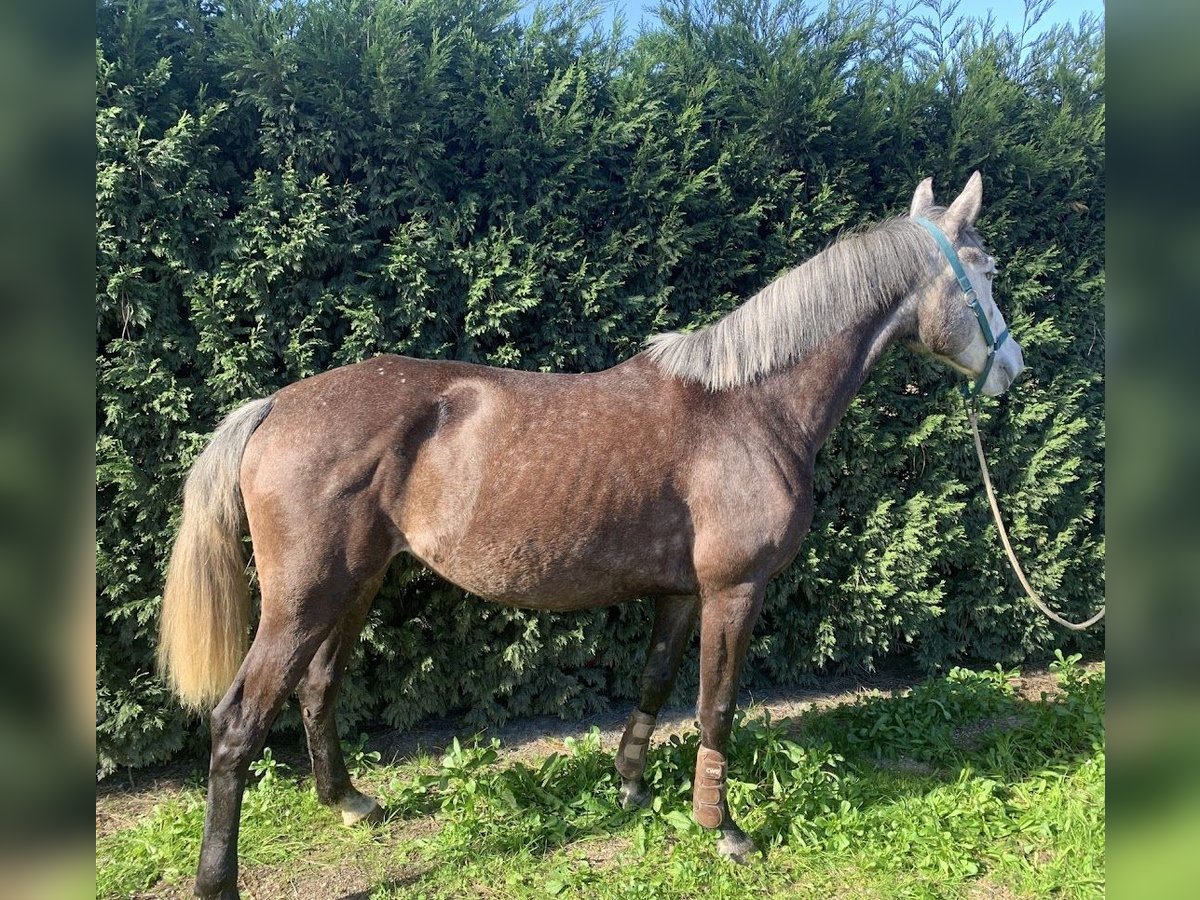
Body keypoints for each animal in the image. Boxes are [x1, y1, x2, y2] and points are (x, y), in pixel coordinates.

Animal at [157, 172, 1022, 897]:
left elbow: (656, 682)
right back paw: (218, 880)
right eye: (985, 270)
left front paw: (633, 784)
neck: (749, 405)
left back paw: (348, 801)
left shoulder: (681, 592)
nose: (1013, 369)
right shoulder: (734, 589)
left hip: (355, 583)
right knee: (238, 723)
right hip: (302, 598)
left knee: (318, 686)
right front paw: (725, 830)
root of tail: (276, 404)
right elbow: (716, 705)